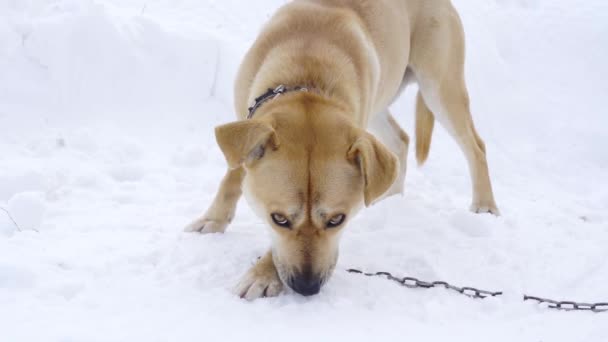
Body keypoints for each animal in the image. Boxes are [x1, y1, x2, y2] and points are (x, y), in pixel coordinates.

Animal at [185, 0, 498, 300]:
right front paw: (213, 220)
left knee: (476, 146)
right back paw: (391, 197)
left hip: (439, 86)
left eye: (337, 219)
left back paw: (485, 205)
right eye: (279, 219)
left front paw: (262, 274)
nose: (307, 287)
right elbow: (233, 175)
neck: (307, 71)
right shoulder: (248, 123)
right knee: (400, 141)